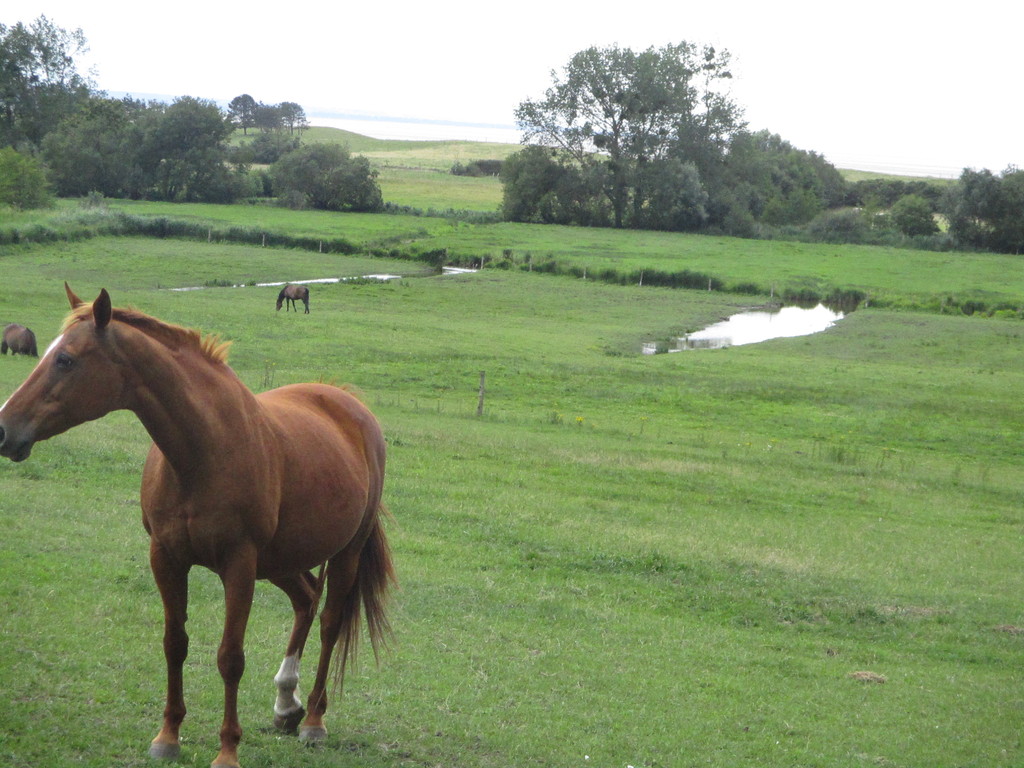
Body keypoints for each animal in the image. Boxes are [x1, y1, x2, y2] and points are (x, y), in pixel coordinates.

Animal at [0, 284, 394, 768]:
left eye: (66, 360)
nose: (3, 429)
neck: (202, 450)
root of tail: (349, 404)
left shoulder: (239, 566)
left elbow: (230, 658)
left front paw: (227, 750)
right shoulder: (166, 558)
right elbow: (175, 643)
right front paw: (167, 736)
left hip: (344, 554)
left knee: (329, 622)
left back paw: (314, 721)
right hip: (280, 561)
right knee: (305, 600)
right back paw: (286, 704)